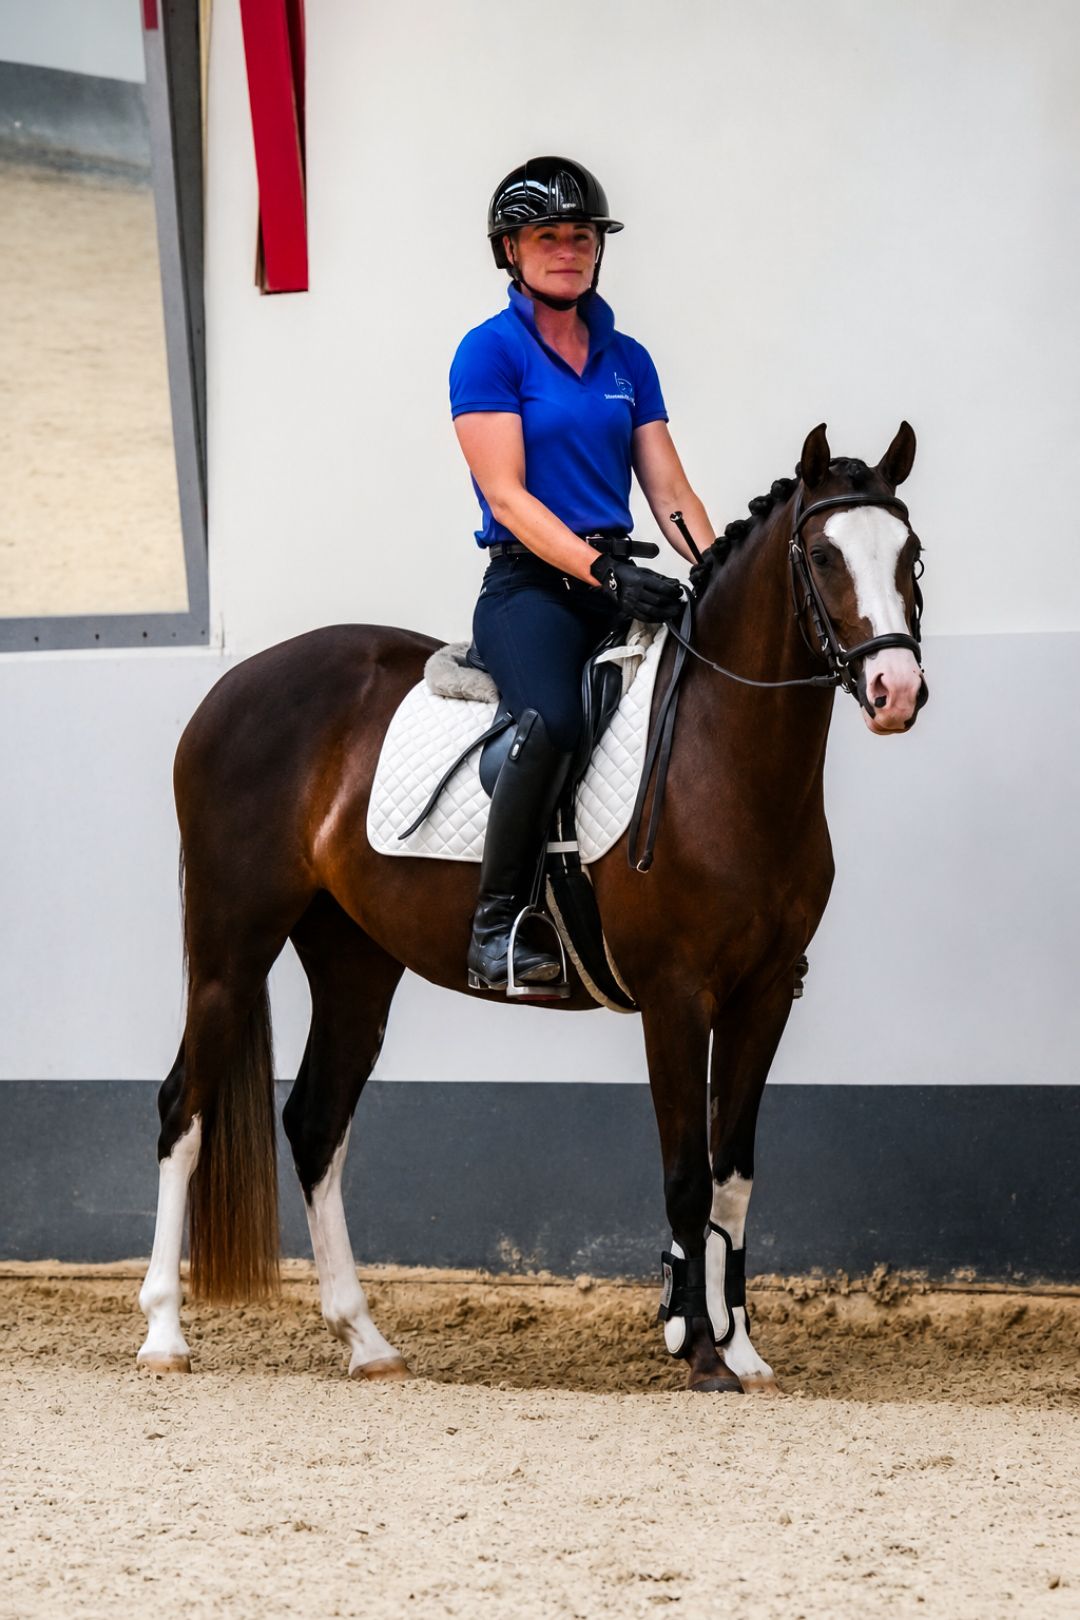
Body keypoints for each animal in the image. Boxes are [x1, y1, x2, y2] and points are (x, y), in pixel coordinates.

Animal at [137, 420, 928, 1393]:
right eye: (822, 555)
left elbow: (733, 1175)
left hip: (354, 960)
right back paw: (164, 1333)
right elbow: (686, 1174)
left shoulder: (766, 992)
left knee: (317, 1123)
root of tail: (229, 688)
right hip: (231, 946)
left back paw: (365, 1340)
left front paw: (741, 1348)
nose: (896, 691)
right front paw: (701, 1353)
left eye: (911, 556)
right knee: (184, 1109)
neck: (724, 756)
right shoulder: (676, 997)